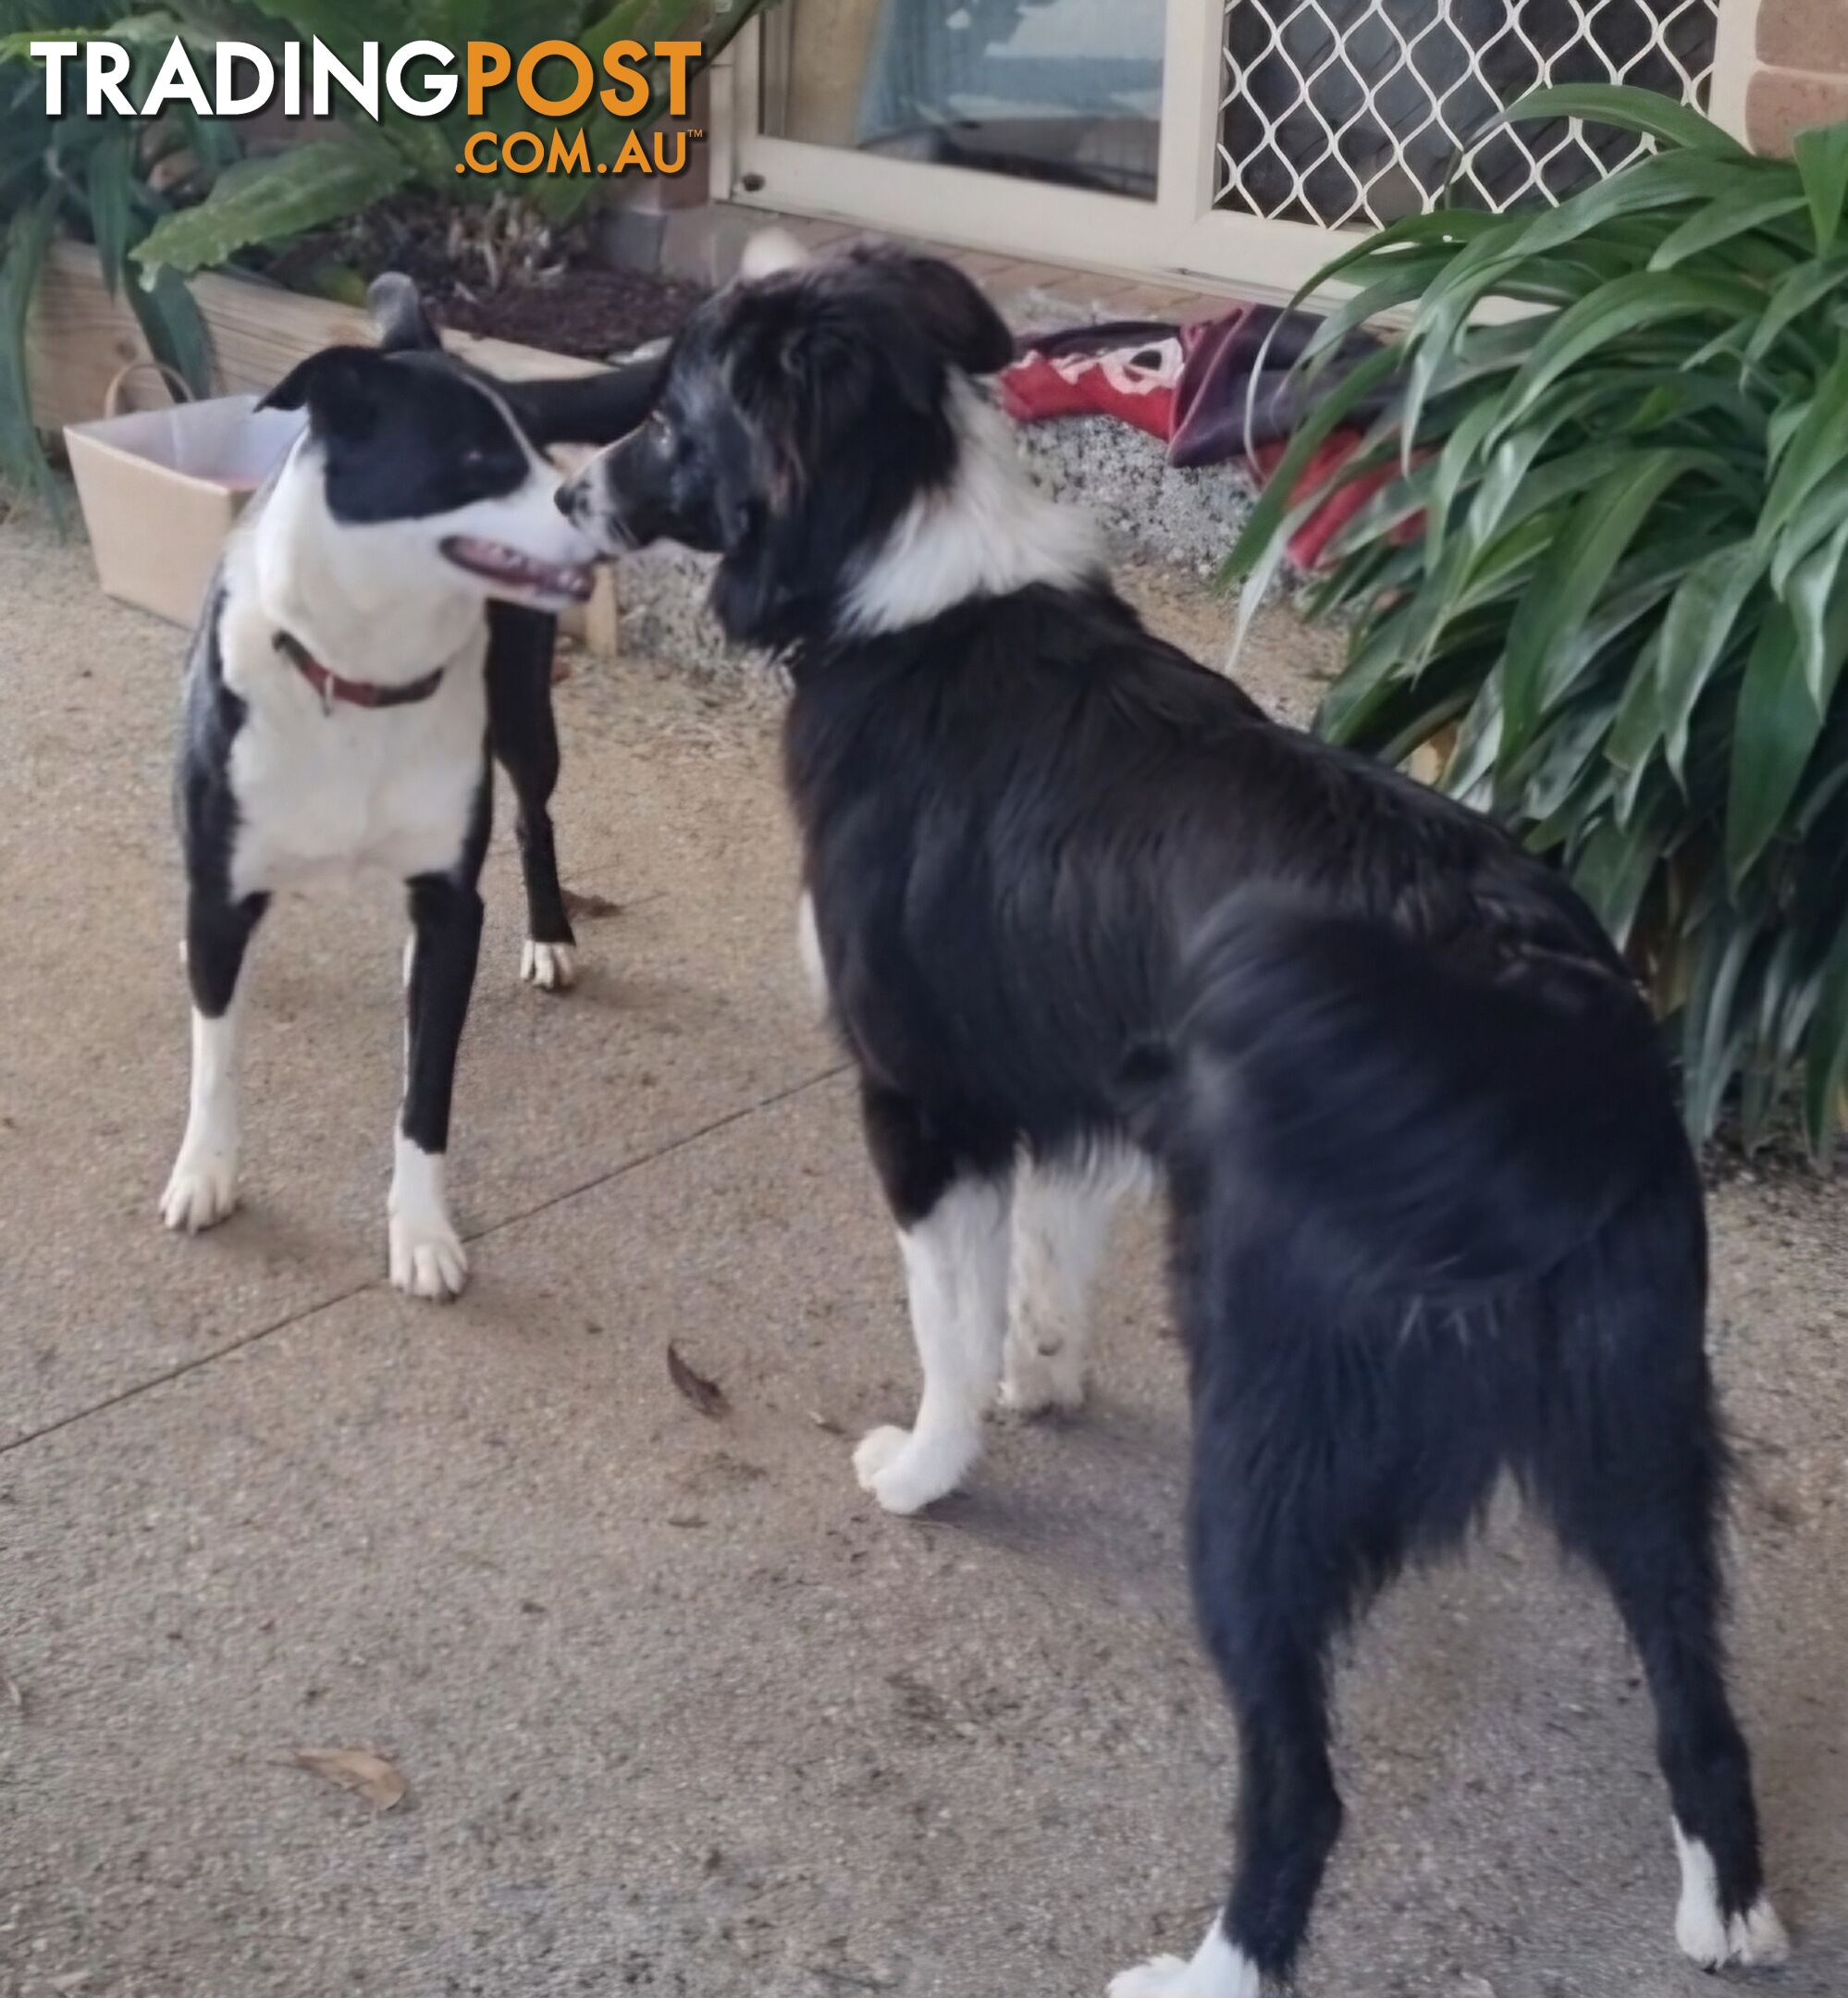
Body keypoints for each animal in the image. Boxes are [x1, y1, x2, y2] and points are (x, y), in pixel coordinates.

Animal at [161, 281, 655, 1302]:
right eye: (474, 459)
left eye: (536, 443)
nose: (593, 512)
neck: (360, 675)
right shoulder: (219, 892)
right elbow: (214, 1057)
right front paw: (206, 1171)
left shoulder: (448, 898)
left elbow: (426, 1090)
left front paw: (421, 1232)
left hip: (526, 723)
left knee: (536, 819)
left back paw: (549, 934)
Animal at [555, 250, 1781, 1998]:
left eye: (668, 413)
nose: (566, 486)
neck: (904, 569)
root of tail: (1546, 1042)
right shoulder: (1081, 1091)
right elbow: (1042, 1266)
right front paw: (1044, 1379)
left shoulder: (919, 1100)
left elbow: (940, 1319)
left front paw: (931, 1462)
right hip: (1641, 1422)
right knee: (1694, 1688)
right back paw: (1724, 1908)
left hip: (1266, 1436)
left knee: (1301, 1777)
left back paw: (1212, 1963)